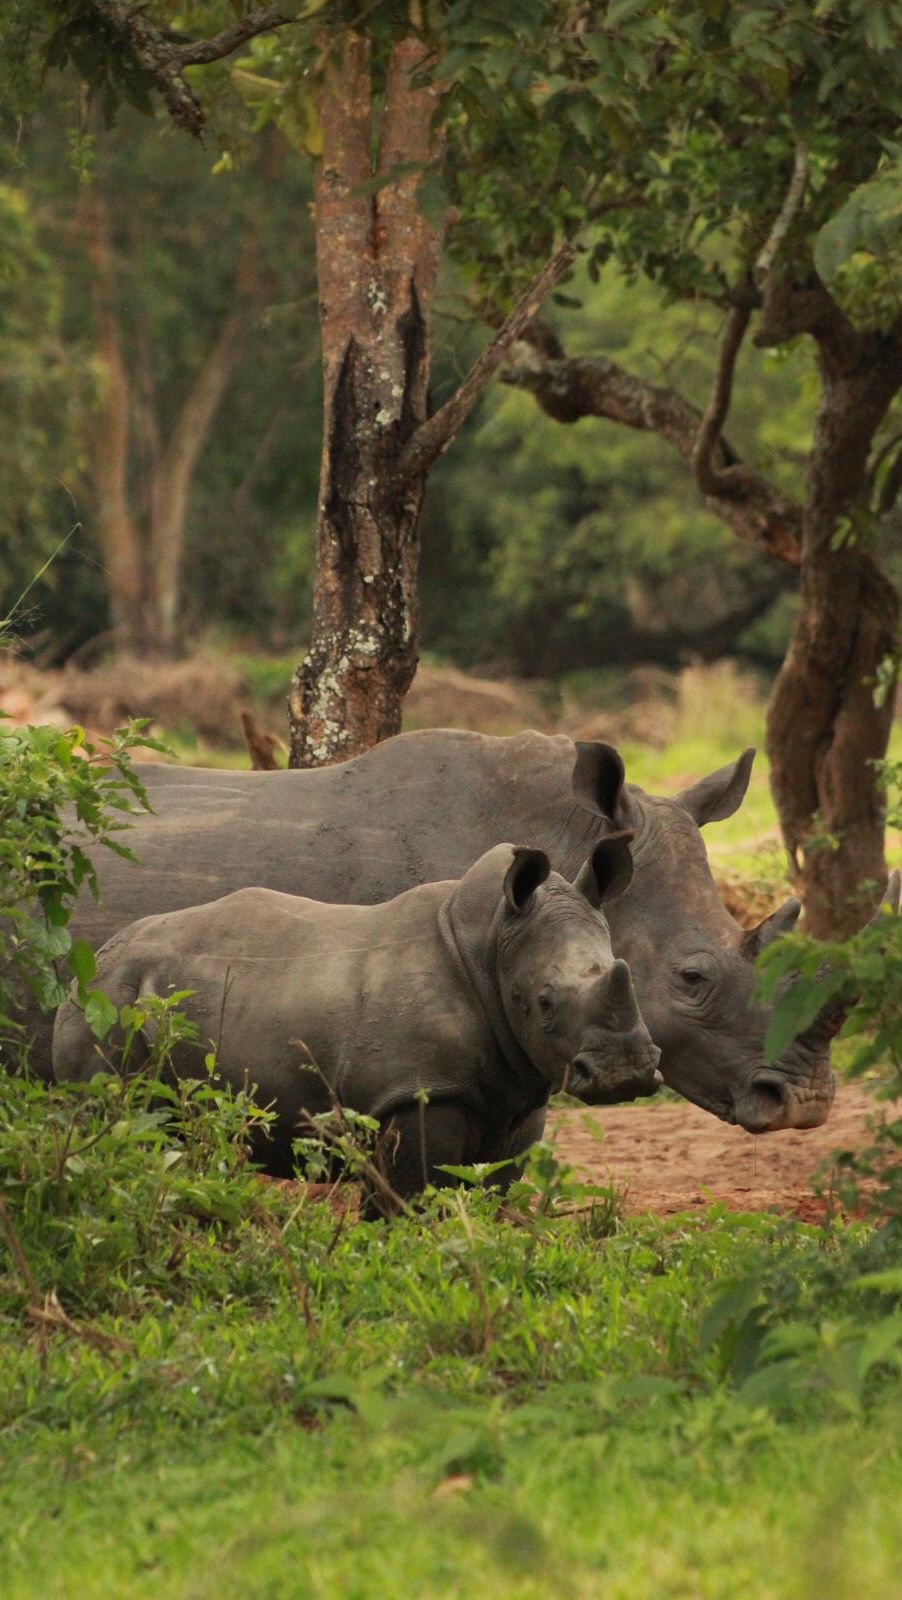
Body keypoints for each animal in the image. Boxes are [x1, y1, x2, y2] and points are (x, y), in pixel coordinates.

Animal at [52, 836, 661, 1199]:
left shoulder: (518, 1092)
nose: (625, 1072)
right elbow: (409, 1206)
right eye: (544, 1001)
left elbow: (493, 1193)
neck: (492, 946)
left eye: (627, 974)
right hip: (110, 1004)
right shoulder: (418, 1092)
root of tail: (91, 962)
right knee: (117, 1126)